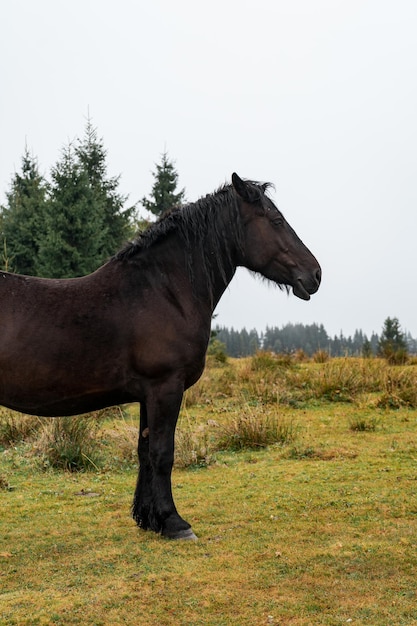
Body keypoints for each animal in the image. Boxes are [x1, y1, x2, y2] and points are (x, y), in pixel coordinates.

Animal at [0, 174, 320, 536]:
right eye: (276, 221)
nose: (315, 274)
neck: (164, 292)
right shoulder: (165, 387)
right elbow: (163, 453)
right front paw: (173, 521)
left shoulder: (146, 395)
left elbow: (144, 451)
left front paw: (147, 518)